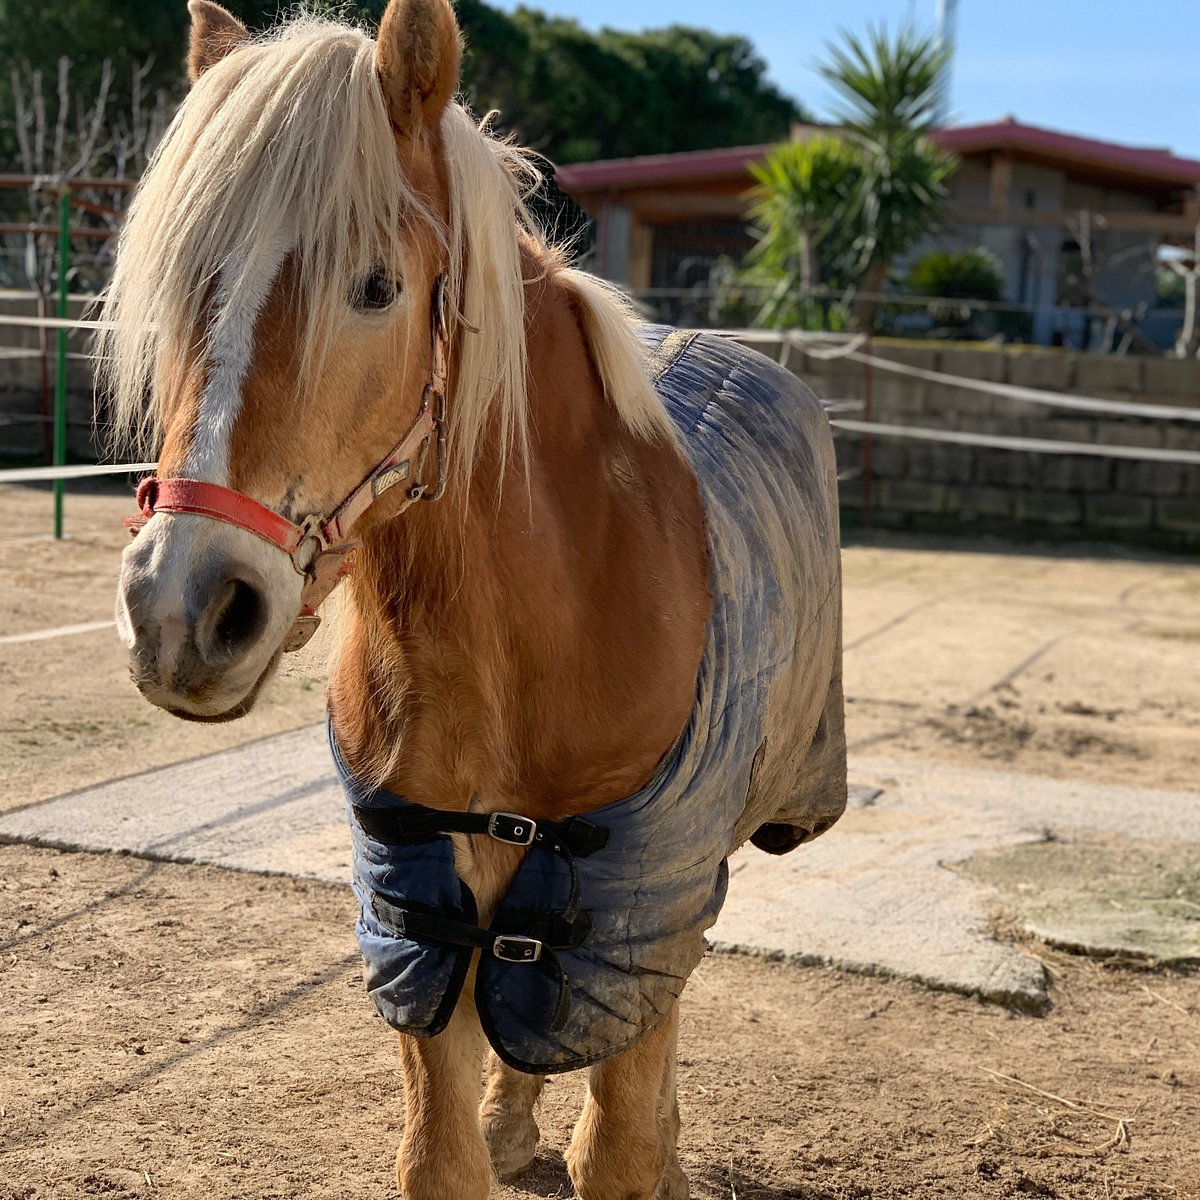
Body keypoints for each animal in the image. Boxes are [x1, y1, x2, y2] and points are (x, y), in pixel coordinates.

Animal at [108, 4, 849, 1195]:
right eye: (179, 289)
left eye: (376, 287)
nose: (181, 612)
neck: (536, 630)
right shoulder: (423, 915)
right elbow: (443, 1154)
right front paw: (496, 1132)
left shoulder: (638, 898)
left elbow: (624, 1134)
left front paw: (648, 1147)